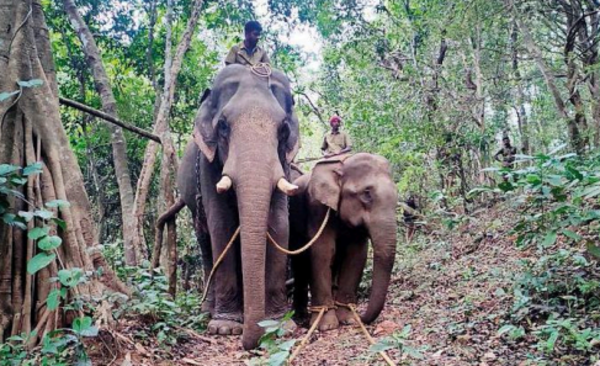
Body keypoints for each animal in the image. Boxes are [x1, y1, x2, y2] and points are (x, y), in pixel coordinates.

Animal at [178, 65, 300, 348]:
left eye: (283, 129)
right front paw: (224, 328)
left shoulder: (284, 164)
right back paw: (208, 311)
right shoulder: (208, 165)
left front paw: (282, 325)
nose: (253, 342)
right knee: (205, 242)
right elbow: (222, 225)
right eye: (223, 126)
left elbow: (279, 223)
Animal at [290, 153, 398, 330]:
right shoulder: (317, 209)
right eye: (366, 194)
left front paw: (349, 319)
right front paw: (326, 326)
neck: (340, 165)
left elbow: (356, 254)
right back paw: (300, 317)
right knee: (300, 264)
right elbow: (323, 252)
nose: (362, 317)